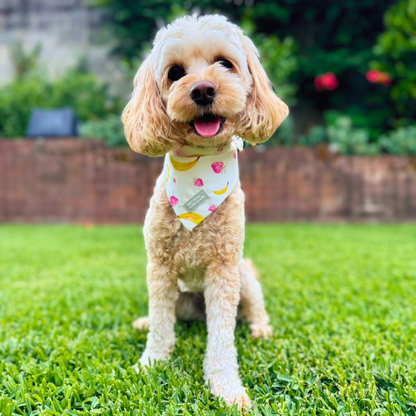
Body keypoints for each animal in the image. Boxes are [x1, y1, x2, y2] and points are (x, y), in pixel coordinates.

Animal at [122, 13, 288, 410]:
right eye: (175, 72)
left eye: (225, 63)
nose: (202, 90)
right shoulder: (159, 268)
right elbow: (161, 325)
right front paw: (151, 362)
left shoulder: (224, 270)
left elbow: (222, 337)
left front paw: (225, 387)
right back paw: (142, 322)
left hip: (246, 279)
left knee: (255, 309)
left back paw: (262, 329)